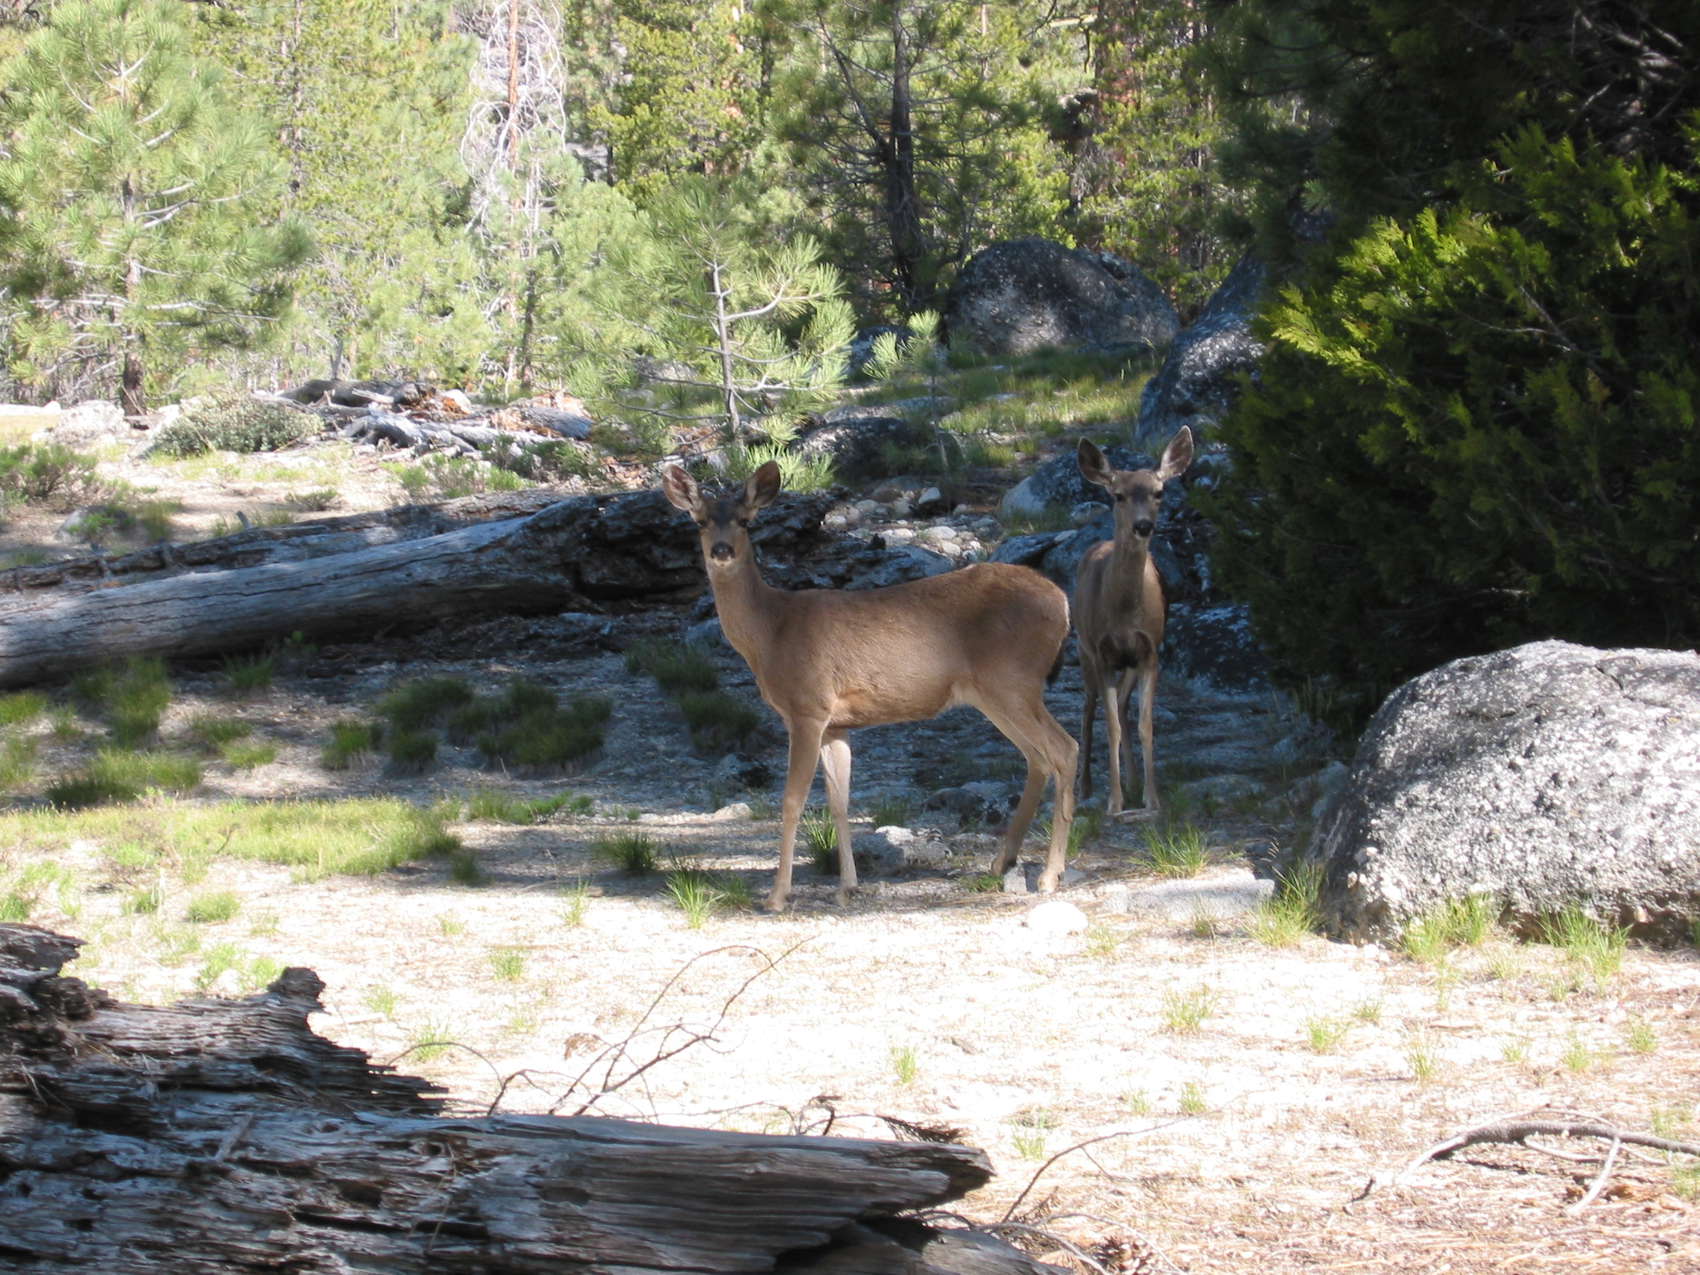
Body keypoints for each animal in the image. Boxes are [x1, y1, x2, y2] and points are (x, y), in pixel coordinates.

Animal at [662, 460, 1078, 912]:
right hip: (995, 693)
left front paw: (777, 895)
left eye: (745, 520)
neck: (771, 631)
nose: (722, 551)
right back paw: (1003, 861)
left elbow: (792, 800)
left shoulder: (807, 706)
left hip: (1014, 680)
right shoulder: (837, 724)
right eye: (700, 521)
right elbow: (839, 801)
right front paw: (848, 885)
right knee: (1037, 757)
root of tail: (1062, 602)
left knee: (1065, 749)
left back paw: (1050, 876)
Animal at [1073, 426, 1194, 819]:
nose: (1143, 525)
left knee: (1124, 707)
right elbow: (1109, 724)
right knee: (1088, 709)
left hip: (1127, 663)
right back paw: (1086, 787)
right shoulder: (1102, 653)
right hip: (1083, 650)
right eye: (1118, 495)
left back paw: (1132, 779)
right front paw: (1114, 802)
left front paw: (1151, 798)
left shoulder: (1150, 651)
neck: (1124, 613)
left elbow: (1145, 725)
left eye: (1159, 492)